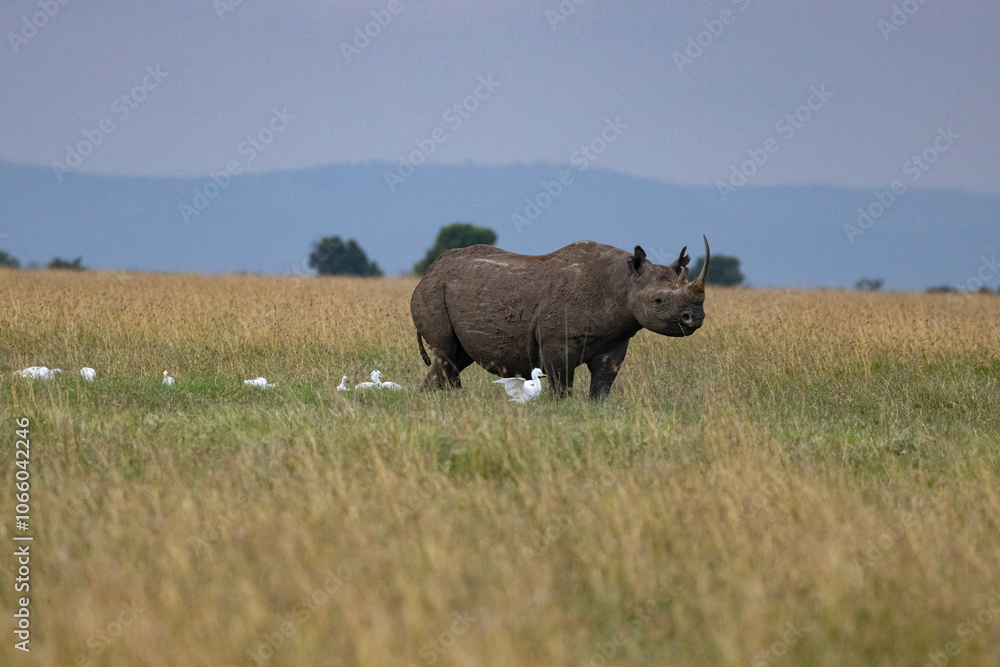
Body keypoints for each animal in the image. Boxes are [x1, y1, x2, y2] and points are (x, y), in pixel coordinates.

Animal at [410, 237, 710, 399]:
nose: (694, 318)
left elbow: (603, 383)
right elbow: (560, 383)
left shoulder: (615, 339)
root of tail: (428, 272)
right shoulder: (557, 342)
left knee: (455, 359)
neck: (623, 283)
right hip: (433, 291)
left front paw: (597, 407)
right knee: (446, 353)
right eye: (658, 301)